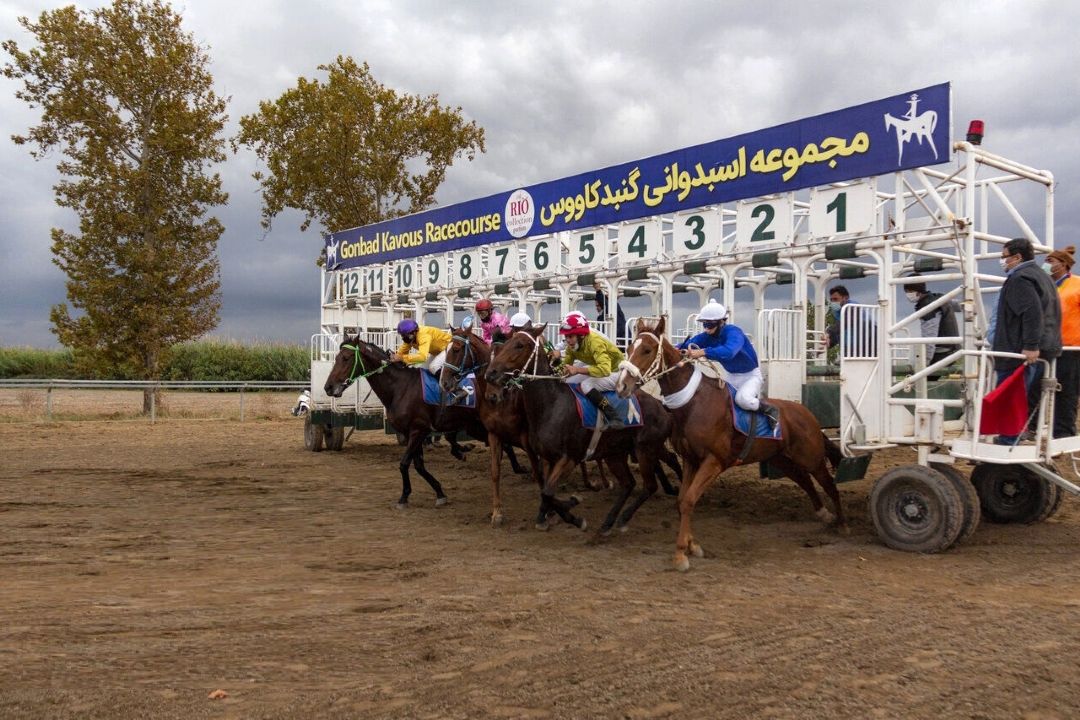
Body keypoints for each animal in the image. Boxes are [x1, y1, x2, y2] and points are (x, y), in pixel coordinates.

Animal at [321, 336, 488, 509]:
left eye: (346, 358)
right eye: (336, 358)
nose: (328, 387)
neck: (400, 387)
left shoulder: (418, 430)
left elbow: (404, 464)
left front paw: (404, 497)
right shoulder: (410, 433)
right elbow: (419, 466)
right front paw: (439, 492)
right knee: (453, 438)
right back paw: (462, 450)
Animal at [486, 325, 678, 535]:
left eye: (520, 345)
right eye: (506, 343)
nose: (491, 373)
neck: (552, 404)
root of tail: (661, 406)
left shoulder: (569, 458)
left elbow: (548, 492)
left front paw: (573, 508)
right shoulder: (548, 458)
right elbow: (545, 490)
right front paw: (548, 515)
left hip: (645, 449)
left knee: (650, 485)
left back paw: (625, 517)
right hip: (615, 453)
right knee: (628, 484)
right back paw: (607, 523)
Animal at [613, 317, 846, 569]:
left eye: (647, 350)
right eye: (629, 348)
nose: (621, 387)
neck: (693, 404)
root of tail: (808, 414)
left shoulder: (714, 461)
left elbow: (688, 500)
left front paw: (681, 553)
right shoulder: (690, 460)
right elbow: (682, 500)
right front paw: (693, 546)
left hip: (812, 457)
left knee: (829, 485)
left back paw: (842, 523)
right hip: (781, 459)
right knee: (805, 481)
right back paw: (823, 513)